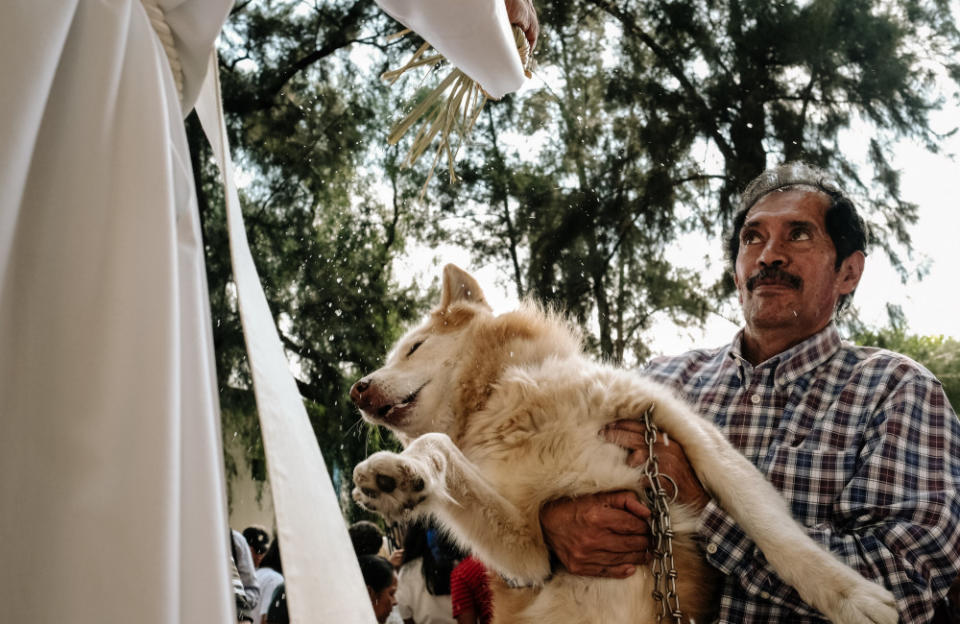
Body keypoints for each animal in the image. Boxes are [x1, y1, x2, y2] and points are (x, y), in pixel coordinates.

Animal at [348, 264, 896, 624]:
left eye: (413, 348)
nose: (358, 389)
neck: (501, 400)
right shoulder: (527, 555)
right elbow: (438, 444)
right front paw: (396, 477)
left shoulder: (691, 436)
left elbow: (777, 536)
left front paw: (852, 598)